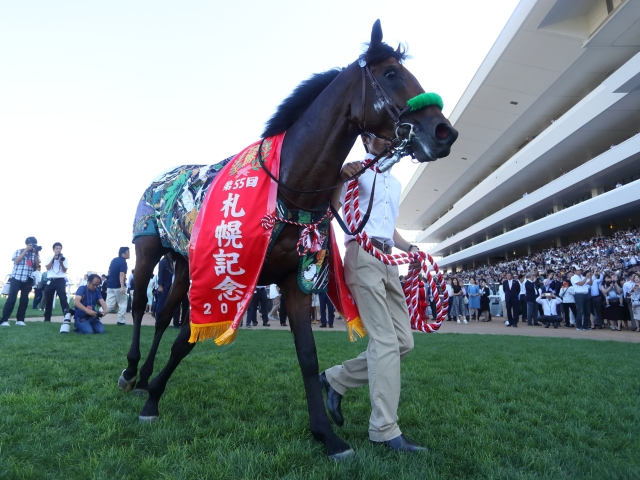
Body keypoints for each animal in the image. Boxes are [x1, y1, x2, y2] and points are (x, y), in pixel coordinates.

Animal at [119, 20, 460, 460]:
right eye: (390, 74)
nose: (444, 131)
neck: (287, 188)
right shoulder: (227, 276)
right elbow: (185, 341)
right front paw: (153, 401)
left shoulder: (295, 280)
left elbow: (308, 356)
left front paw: (327, 434)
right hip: (149, 251)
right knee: (140, 305)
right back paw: (131, 372)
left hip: (181, 264)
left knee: (162, 314)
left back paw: (144, 375)